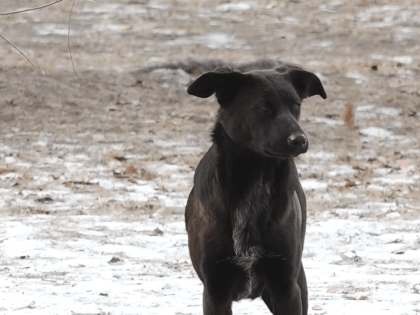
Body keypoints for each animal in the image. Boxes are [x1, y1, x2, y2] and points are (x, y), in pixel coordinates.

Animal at [185, 65, 326, 315]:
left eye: (296, 106)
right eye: (263, 107)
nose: (299, 140)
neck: (256, 181)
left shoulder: (286, 288)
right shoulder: (215, 291)